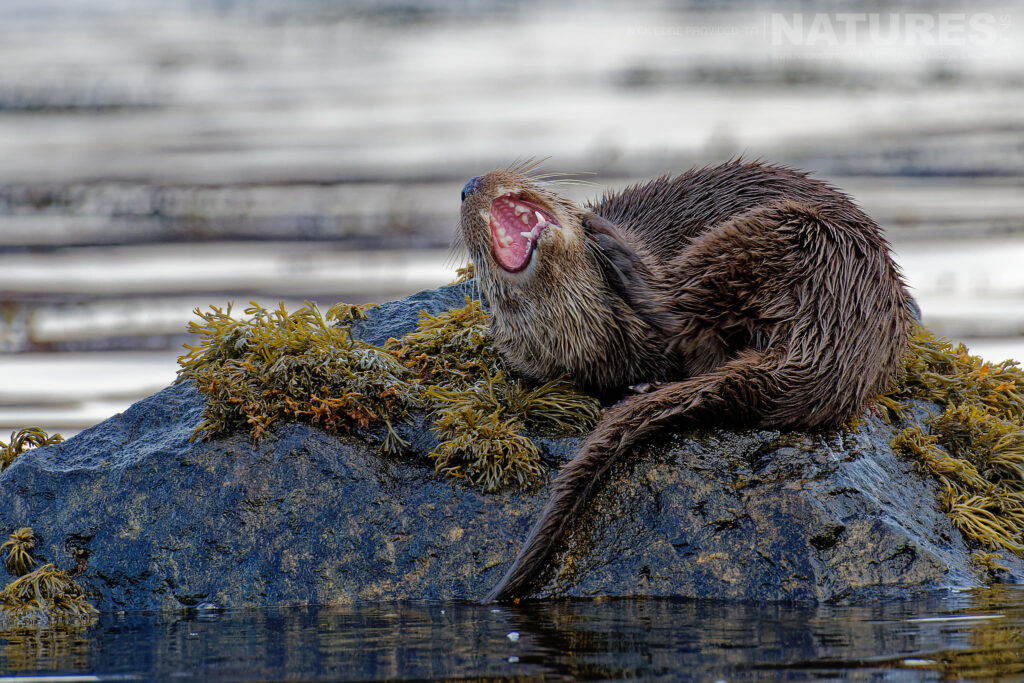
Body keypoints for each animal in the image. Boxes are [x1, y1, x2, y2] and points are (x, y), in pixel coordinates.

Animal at [460, 160, 917, 602]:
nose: (468, 185)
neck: (602, 333)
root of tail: (835, 336)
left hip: (792, 230)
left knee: (678, 302)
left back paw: (607, 242)